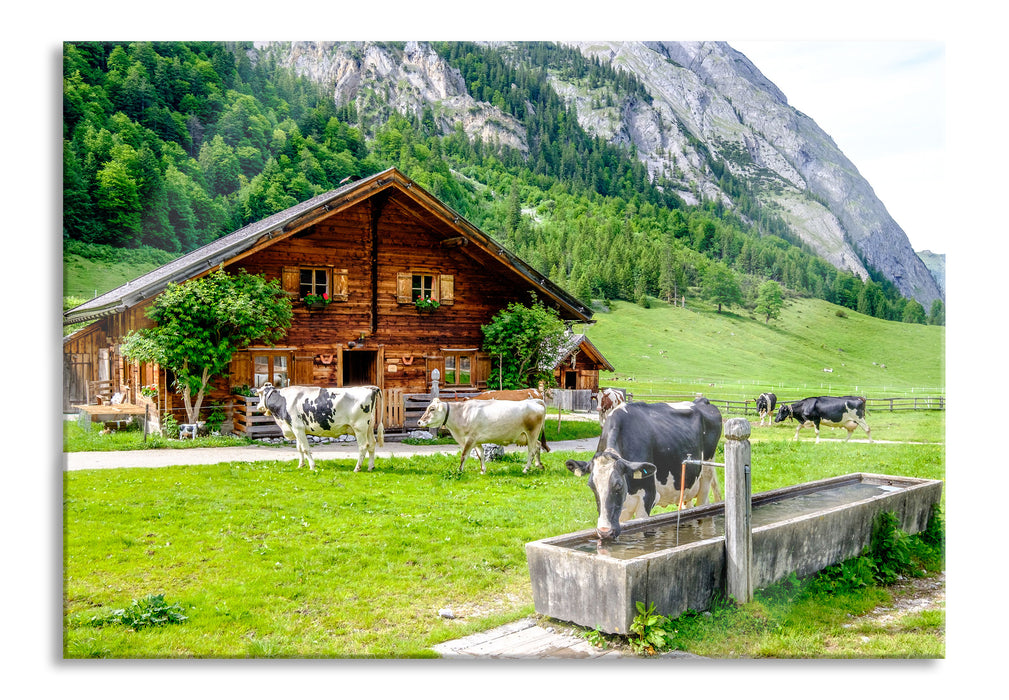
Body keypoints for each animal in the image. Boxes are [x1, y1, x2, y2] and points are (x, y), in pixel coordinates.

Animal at [256, 381, 385, 474]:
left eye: (259, 395)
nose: (257, 406)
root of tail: (369, 388)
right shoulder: (296, 428)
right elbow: (299, 448)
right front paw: (301, 465)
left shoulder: (297, 427)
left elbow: (305, 448)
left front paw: (312, 466)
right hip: (369, 427)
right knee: (372, 444)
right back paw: (371, 467)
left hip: (359, 427)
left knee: (363, 446)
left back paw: (357, 468)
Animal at [565, 399, 722, 544]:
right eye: (592, 486)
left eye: (618, 485)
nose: (604, 532)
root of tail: (702, 401)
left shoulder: (649, 496)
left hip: (706, 474)